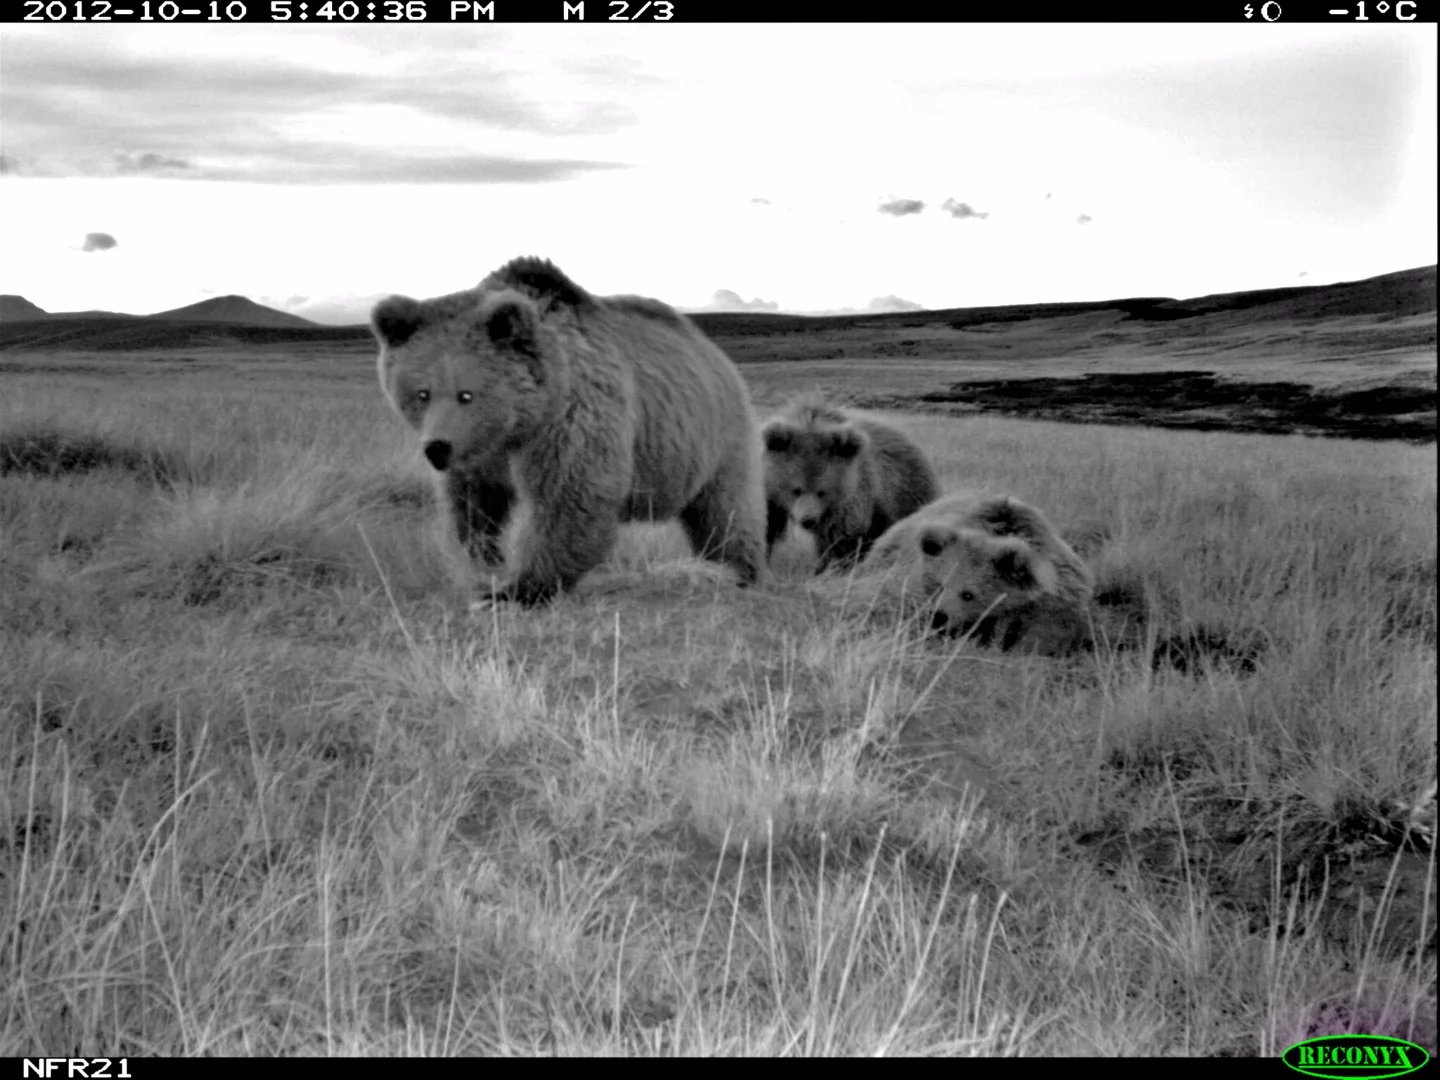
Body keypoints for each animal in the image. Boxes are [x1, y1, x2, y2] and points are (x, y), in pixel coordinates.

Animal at [371, 257, 768, 605]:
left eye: (465, 393)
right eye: (421, 393)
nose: (437, 448)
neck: (519, 422)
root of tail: (709, 347)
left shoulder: (572, 418)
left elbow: (569, 499)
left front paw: (521, 589)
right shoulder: (481, 454)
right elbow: (474, 506)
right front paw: (484, 562)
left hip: (715, 436)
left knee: (725, 507)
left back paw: (736, 570)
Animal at [761, 396, 939, 572]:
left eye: (822, 491)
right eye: (795, 490)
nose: (808, 520)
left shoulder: (853, 494)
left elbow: (840, 537)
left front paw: (831, 567)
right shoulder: (769, 495)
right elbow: (767, 526)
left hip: (905, 495)